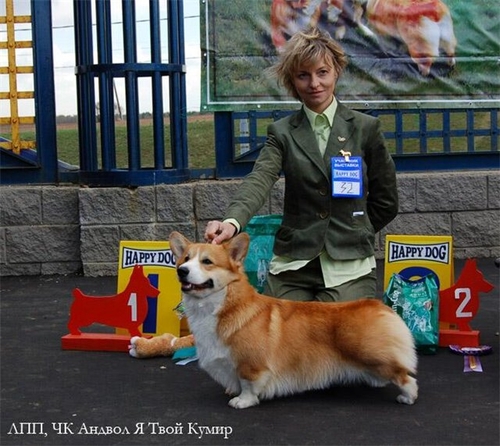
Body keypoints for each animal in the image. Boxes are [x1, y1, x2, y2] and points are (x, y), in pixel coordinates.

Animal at [169, 232, 418, 410]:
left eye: (207, 261)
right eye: (185, 259)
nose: (181, 271)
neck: (223, 304)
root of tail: (379, 306)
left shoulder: (251, 364)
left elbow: (248, 384)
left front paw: (242, 401)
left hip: (372, 355)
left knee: (404, 375)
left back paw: (408, 397)